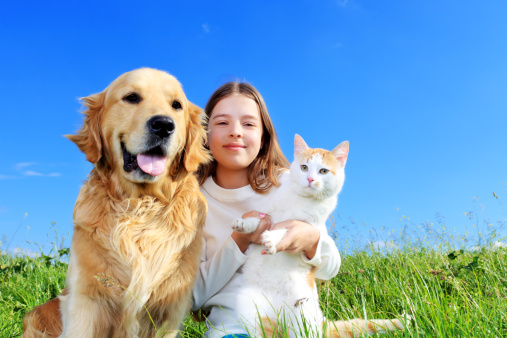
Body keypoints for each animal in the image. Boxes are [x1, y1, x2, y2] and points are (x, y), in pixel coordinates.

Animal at [232, 135, 410, 338]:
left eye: (323, 171)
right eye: (304, 167)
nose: (310, 179)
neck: (300, 200)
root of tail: (321, 324)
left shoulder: (306, 226)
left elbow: (286, 230)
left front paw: (273, 238)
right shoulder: (269, 215)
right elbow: (259, 220)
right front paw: (244, 224)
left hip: (302, 317)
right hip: (252, 310)